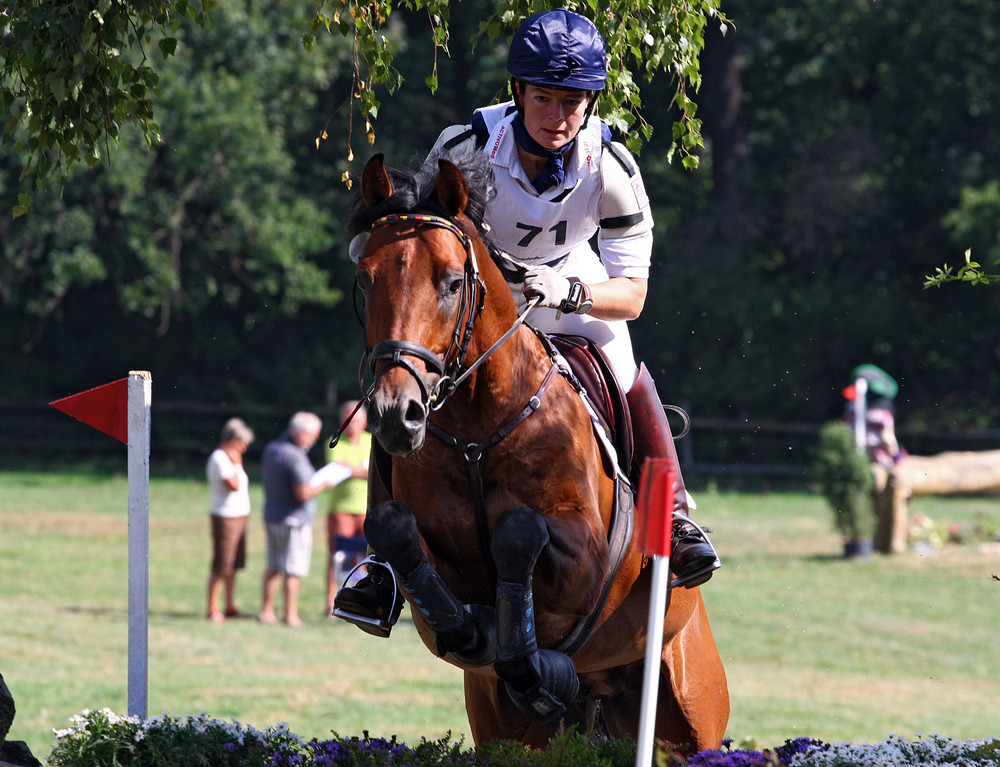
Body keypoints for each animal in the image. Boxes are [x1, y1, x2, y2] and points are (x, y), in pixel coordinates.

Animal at [344, 147, 728, 752]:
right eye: (366, 279)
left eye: (452, 283)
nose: (394, 412)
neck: (478, 428)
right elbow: (396, 531)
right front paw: (484, 636)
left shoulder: (589, 562)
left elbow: (517, 532)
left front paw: (531, 662)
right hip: (506, 730)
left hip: (691, 714)